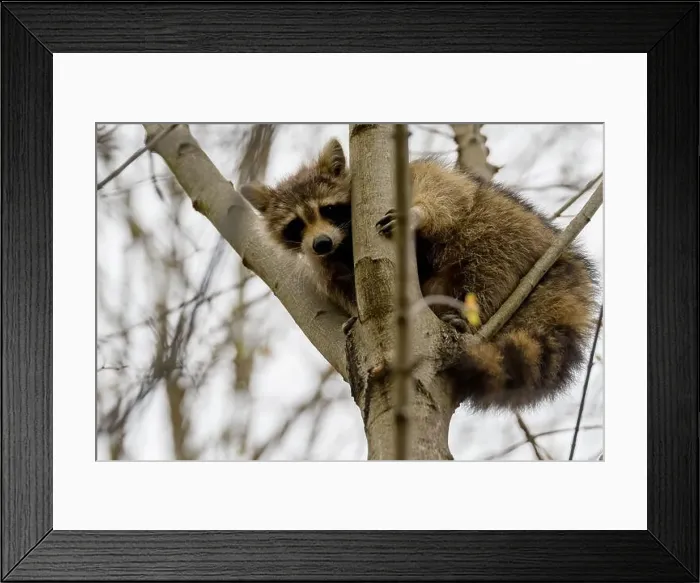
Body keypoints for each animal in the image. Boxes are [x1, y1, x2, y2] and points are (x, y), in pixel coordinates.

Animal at [240, 137, 600, 413]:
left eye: (327, 209)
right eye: (295, 225)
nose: (321, 243)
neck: (345, 239)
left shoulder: (411, 178)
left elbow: (440, 189)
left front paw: (417, 213)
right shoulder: (323, 263)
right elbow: (338, 284)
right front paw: (354, 312)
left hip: (509, 233)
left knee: (485, 260)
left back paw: (471, 312)